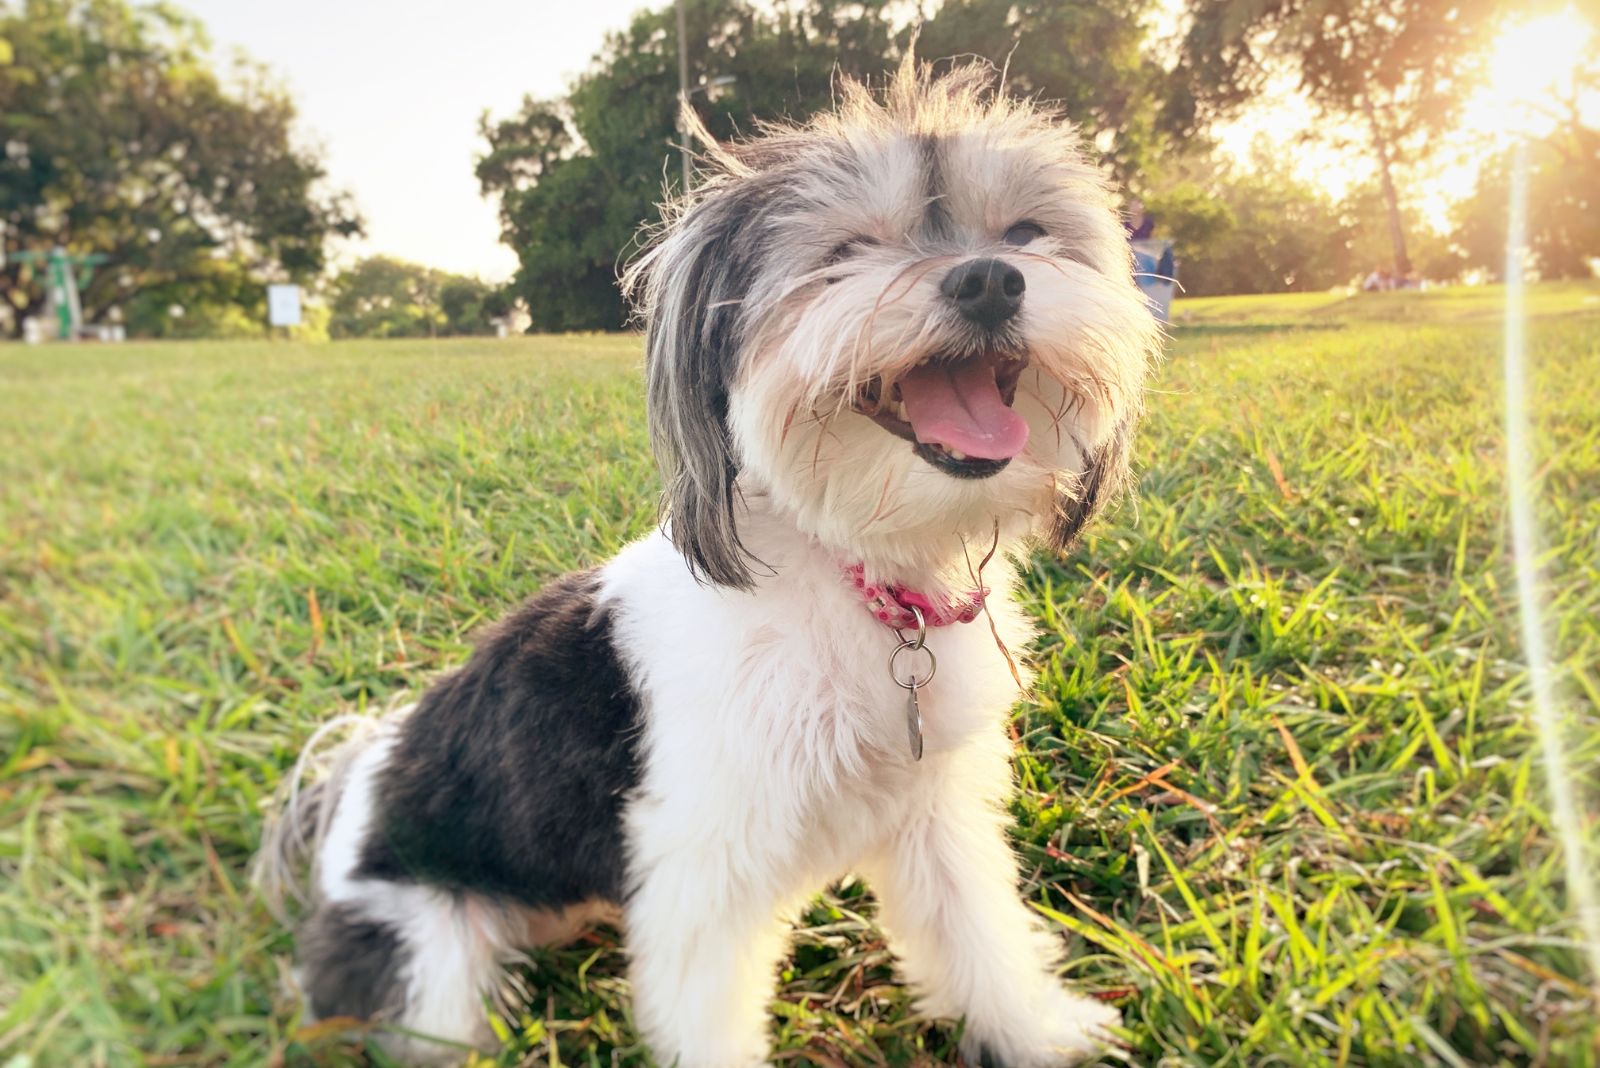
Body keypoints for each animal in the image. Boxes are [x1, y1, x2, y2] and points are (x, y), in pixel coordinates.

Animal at [262, 58, 1164, 1068]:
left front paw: (1037, 1030)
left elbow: (975, 926)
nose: (989, 279)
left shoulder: (933, 810)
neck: (857, 575)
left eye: (1025, 234)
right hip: (427, 951)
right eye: (847, 250)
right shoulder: (703, 861)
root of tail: (351, 789)